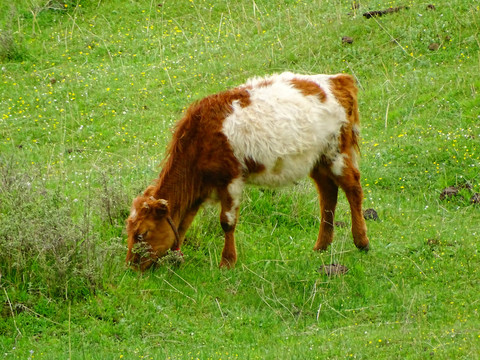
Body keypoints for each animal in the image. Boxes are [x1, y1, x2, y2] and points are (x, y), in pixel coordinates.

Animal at [125, 72, 370, 270]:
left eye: (142, 234)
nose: (131, 266)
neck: (199, 139)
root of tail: (338, 79)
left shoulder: (231, 179)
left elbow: (227, 222)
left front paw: (227, 262)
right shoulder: (199, 190)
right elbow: (184, 224)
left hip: (337, 152)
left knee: (353, 188)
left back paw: (361, 242)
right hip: (317, 161)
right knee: (328, 194)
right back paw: (321, 246)